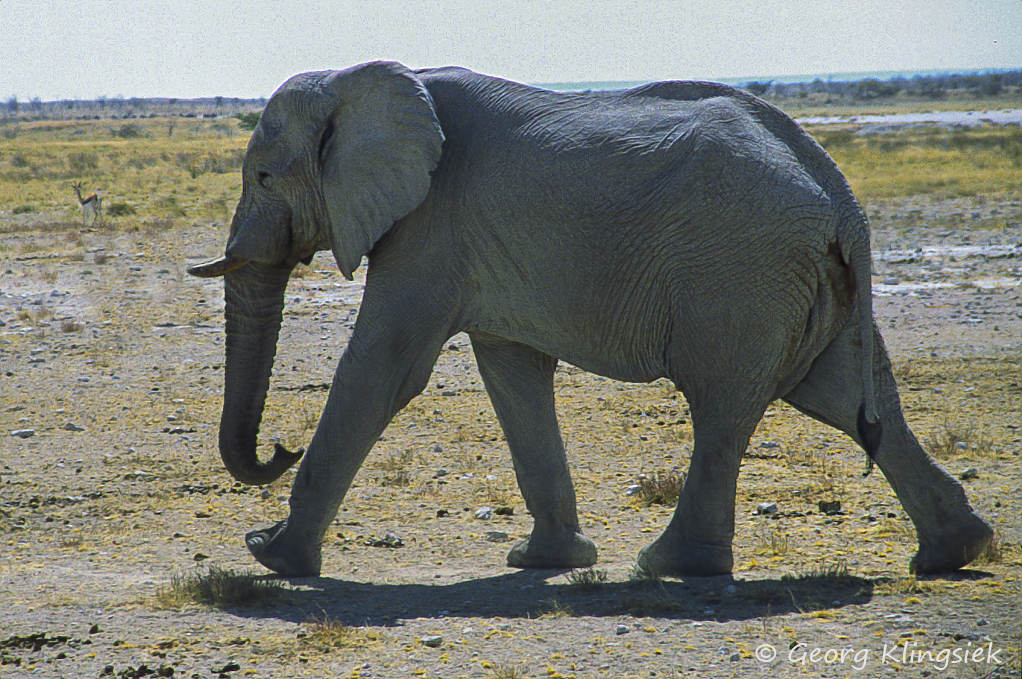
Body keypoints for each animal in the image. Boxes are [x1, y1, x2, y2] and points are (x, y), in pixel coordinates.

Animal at [190, 59, 989, 576]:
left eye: (263, 176)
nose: (278, 448)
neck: (357, 78)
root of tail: (842, 198)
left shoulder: (429, 226)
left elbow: (383, 371)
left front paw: (272, 557)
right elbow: (512, 374)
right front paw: (545, 561)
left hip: (741, 274)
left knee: (723, 405)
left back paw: (671, 567)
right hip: (808, 285)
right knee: (848, 398)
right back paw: (954, 553)